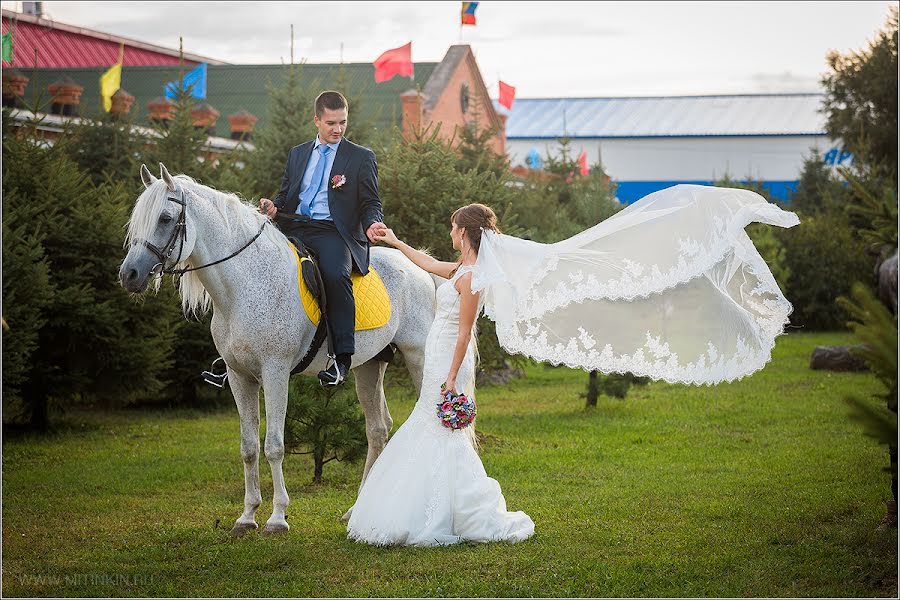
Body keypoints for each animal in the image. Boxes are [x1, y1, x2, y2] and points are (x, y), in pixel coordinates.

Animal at [118, 163, 436, 536]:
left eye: (166, 218)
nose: (130, 274)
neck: (244, 285)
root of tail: (418, 267)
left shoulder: (275, 373)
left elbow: (274, 446)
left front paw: (277, 517)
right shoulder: (240, 377)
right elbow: (249, 448)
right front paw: (246, 516)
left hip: (419, 357)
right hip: (368, 367)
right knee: (378, 429)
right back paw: (357, 510)